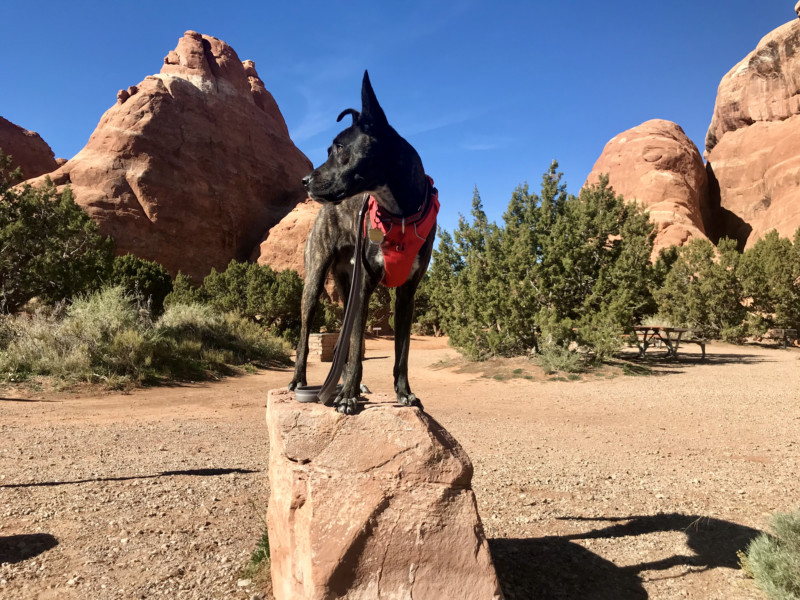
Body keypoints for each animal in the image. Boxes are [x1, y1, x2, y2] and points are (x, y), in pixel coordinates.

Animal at [290, 70, 438, 414]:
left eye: (339, 147)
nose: (304, 181)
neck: (398, 215)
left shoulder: (407, 294)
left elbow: (401, 353)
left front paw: (404, 393)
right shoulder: (365, 287)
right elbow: (357, 347)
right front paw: (348, 397)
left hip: (347, 287)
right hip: (315, 282)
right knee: (304, 338)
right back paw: (302, 381)